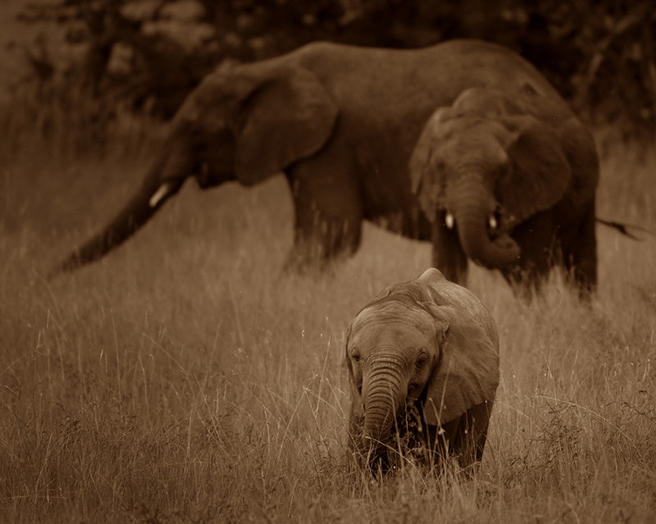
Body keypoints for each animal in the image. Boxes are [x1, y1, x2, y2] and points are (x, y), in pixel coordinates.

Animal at [410, 84, 600, 292]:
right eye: (440, 166)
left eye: (501, 171)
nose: (502, 234)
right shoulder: (436, 190)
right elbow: (448, 260)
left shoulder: (536, 187)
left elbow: (529, 264)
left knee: (581, 261)